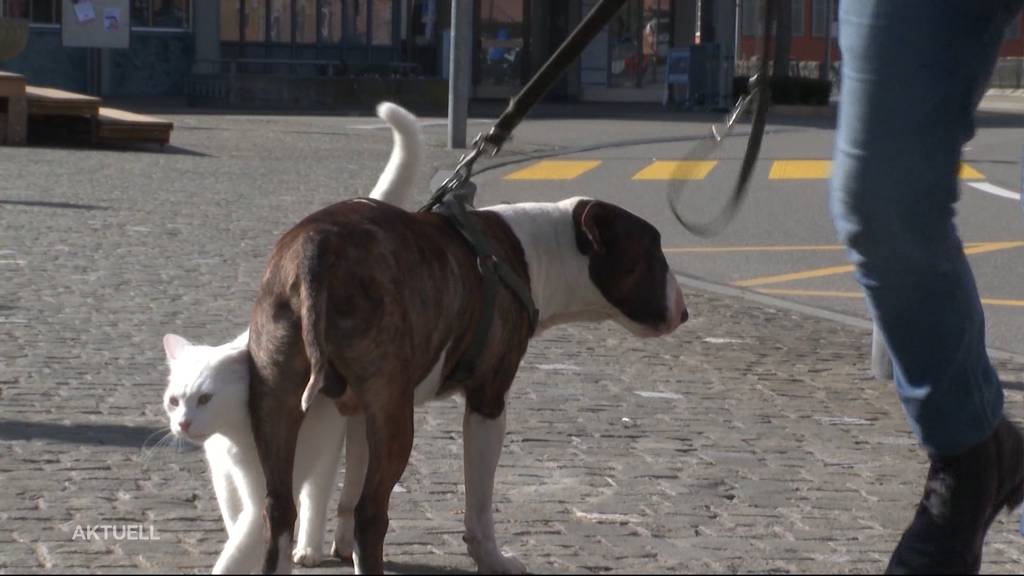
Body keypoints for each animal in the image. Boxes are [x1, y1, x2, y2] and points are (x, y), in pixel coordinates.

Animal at [158, 100, 419, 569]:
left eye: (205, 398)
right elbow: (237, 526)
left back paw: (308, 548)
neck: (234, 438)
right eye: (175, 400)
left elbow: (240, 545)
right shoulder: (228, 480)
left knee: (318, 495)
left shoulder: (275, 482)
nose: (183, 423)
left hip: (330, 444)